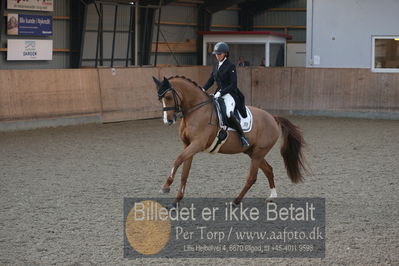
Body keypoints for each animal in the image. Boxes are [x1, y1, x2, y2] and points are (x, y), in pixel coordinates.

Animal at [152, 76, 306, 205]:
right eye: (160, 99)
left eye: (168, 96)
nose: (168, 120)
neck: (196, 110)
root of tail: (272, 118)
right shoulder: (188, 145)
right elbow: (184, 173)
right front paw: (176, 200)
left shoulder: (196, 145)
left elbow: (177, 160)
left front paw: (165, 186)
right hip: (252, 152)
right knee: (268, 169)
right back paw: (272, 196)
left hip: (258, 153)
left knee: (252, 177)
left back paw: (236, 201)